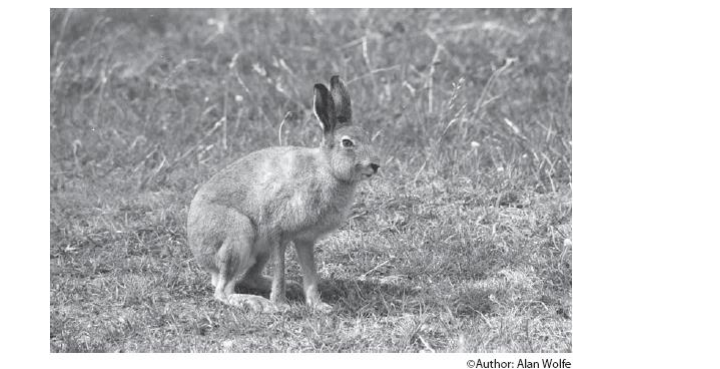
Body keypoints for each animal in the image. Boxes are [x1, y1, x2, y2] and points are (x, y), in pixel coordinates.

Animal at [186, 76, 380, 312]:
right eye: (347, 143)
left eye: (367, 136)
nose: (375, 165)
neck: (327, 168)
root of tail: (200, 254)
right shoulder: (277, 232)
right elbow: (281, 270)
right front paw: (280, 304)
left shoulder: (305, 239)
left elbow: (310, 273)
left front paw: (319, 305)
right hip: (238, 236)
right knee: (222, 291)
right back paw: (257, 303)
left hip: (260, 250)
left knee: (247, 278)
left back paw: (287, 287)